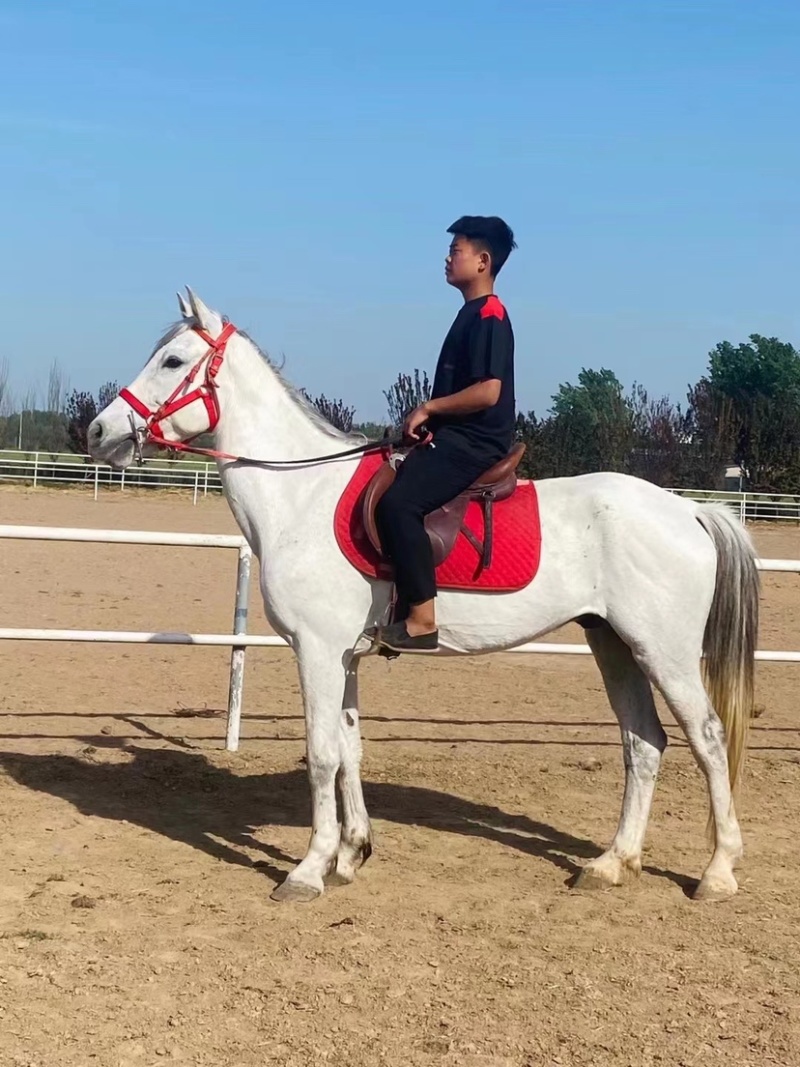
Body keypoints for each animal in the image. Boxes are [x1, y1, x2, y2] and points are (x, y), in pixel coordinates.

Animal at [87, 288, 759, 904]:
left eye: (173, 360)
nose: (98, 431)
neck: (302, 495)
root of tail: (689, 511)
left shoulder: (317, 650)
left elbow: (322, 755)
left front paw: (308, 870)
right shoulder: (344, 657)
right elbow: (351, 750)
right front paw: (352, 853)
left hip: (664, 651)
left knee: (707, 737)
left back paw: (719, 872)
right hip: (614, 643)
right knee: (643, 743)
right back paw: (611, 864)